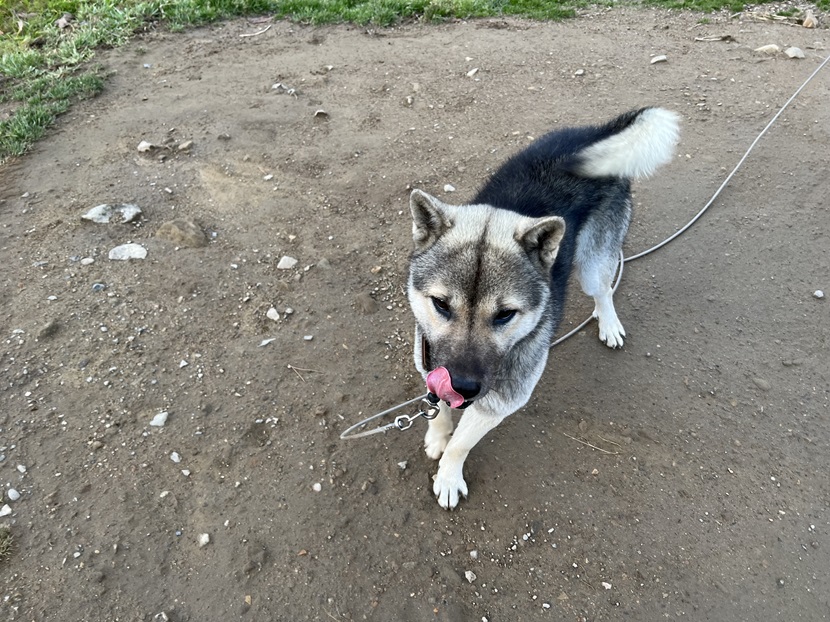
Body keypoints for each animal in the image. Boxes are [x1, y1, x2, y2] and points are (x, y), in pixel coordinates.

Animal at [406, 107, 680, 512]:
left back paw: (608, 321)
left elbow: (461, 444)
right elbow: (437, 408)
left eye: (505, 315)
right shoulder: (429, 360)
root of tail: (594, 134)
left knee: (603, 287)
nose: (464, 387)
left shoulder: (501, 403)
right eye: (440, 304)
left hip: (593, 261)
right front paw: (437, 434)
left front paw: (449, 476)